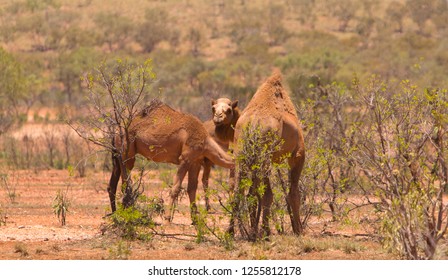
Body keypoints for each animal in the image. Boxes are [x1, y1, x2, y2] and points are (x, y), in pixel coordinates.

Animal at [231, 70, 304, 238]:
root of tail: (252, 124)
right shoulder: (298, 154)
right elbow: (293, 193)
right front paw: (298, 230)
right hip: (263, 157)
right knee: (263, 194)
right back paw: (260, 231)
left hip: (242, 155)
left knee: (240, 192)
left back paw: (233, 231)